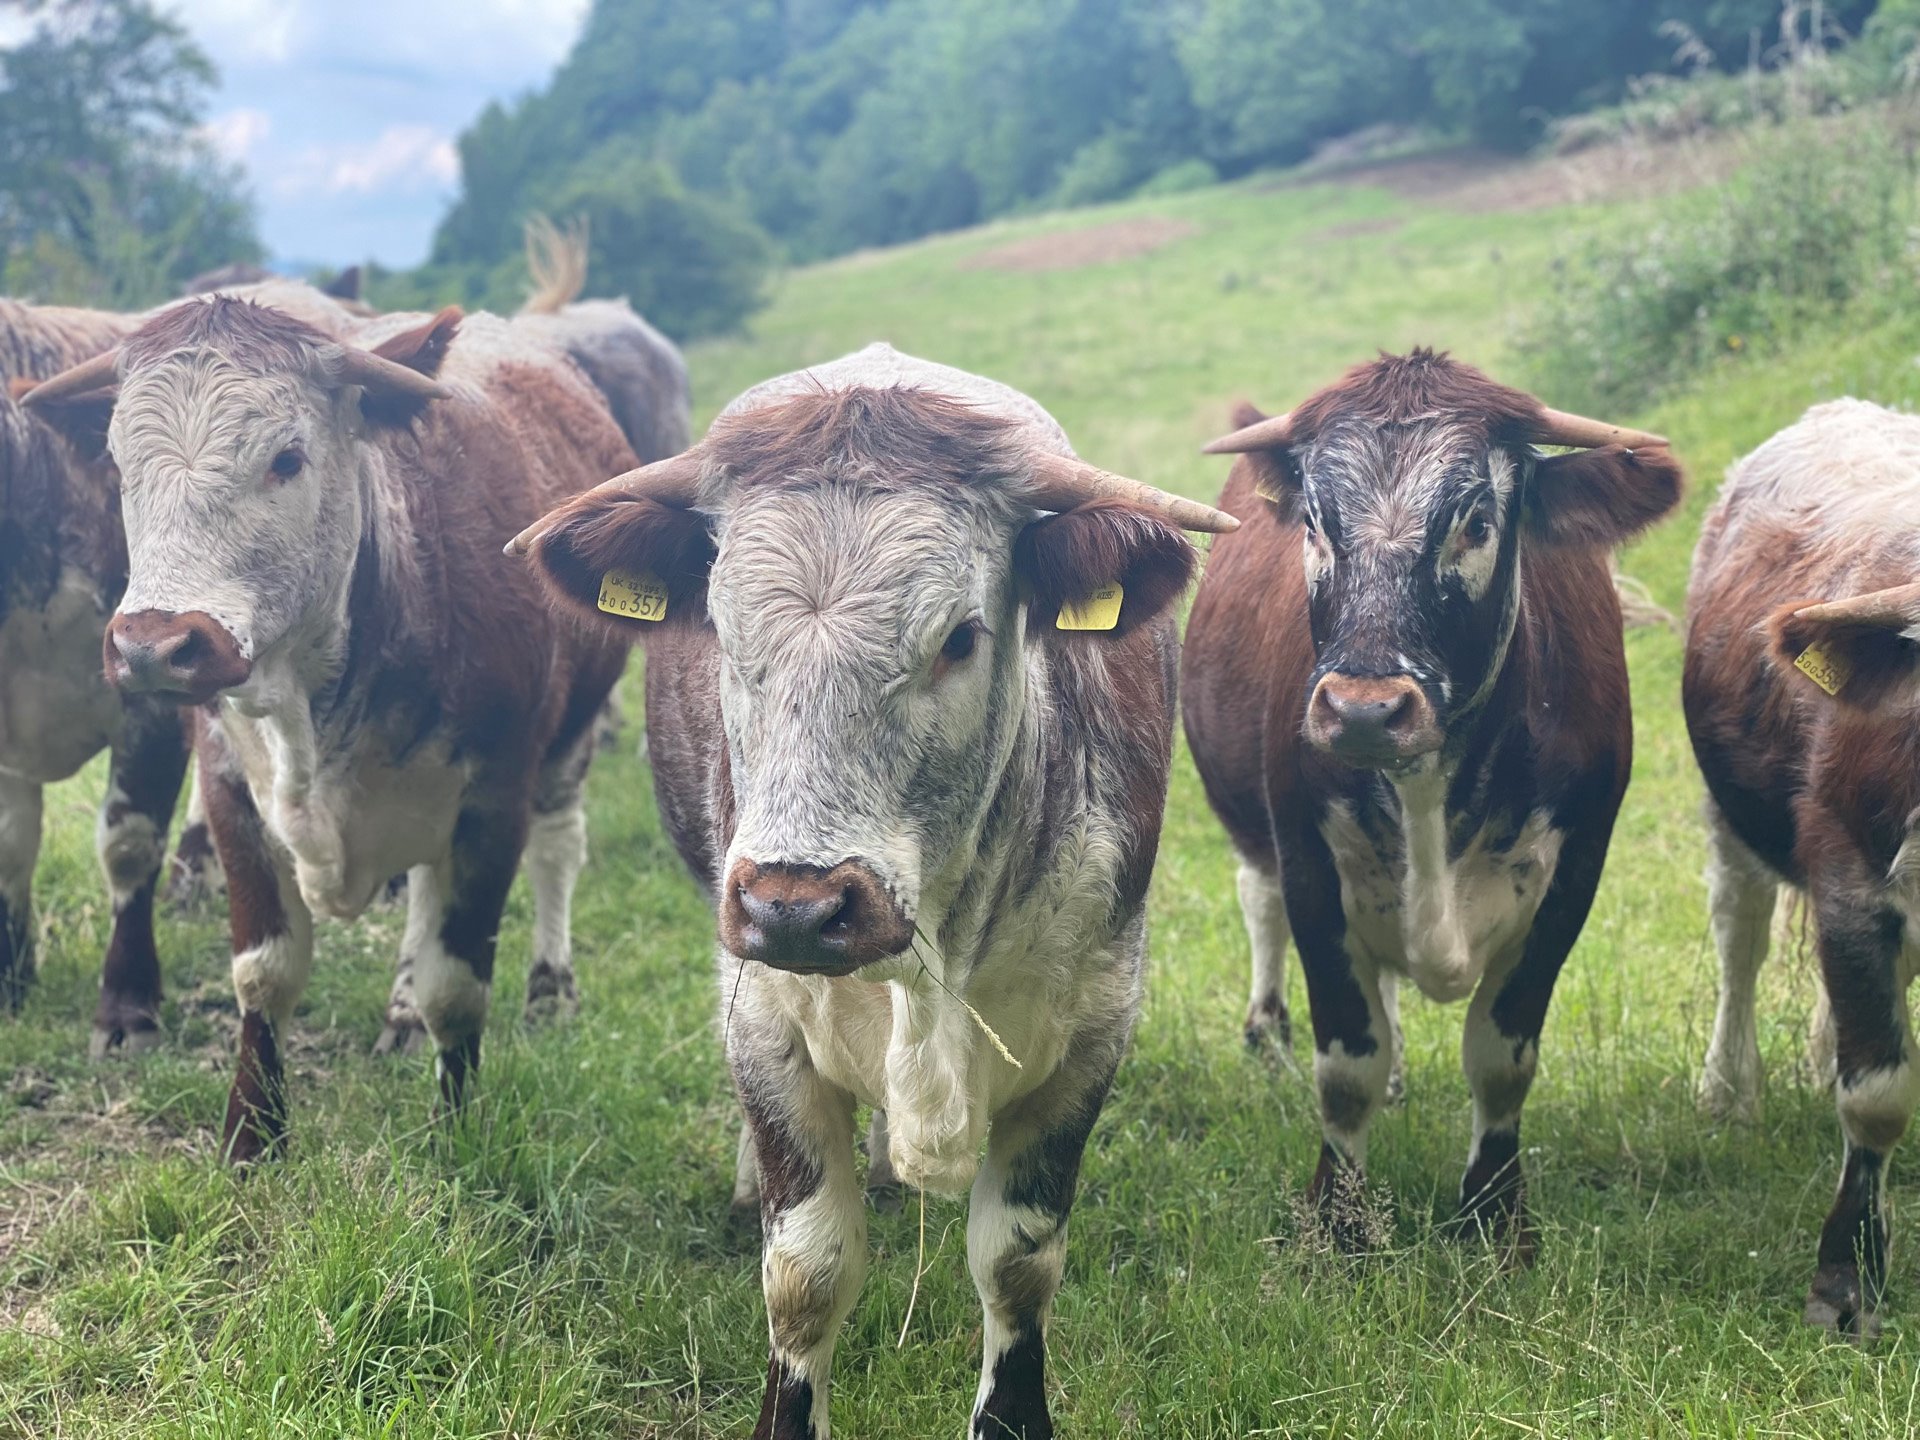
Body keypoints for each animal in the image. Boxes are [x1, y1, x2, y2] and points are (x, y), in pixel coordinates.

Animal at [22, 293, 633, 1159]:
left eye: (287, 458)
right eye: (118, 463)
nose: (152, 647)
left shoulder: (493, 801)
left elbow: (457, 985)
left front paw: (454, 1135)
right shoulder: (231, 793)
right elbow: (266, 971)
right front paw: (253, 1136)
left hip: (567, 748)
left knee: (558, 850)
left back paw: (548, 990)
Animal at [510, 347, 1236, 1440]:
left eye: (960, 638)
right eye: (723, 632)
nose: (796, 906)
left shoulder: (1094, 1031)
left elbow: (1018, 1262)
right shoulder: (763, 1024)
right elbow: (808, 1271)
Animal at [1182, 353, 1681, 1259]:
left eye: (1477, 521)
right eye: (1316, 522)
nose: (1365, 710)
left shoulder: (1572, 879)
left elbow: (1502, 1056)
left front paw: (1493, 1214)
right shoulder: (1310, 865)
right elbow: (1348, 1064)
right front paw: (1340, 1222)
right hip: (1247, 822)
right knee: (1258, 901)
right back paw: (1268, 1029)